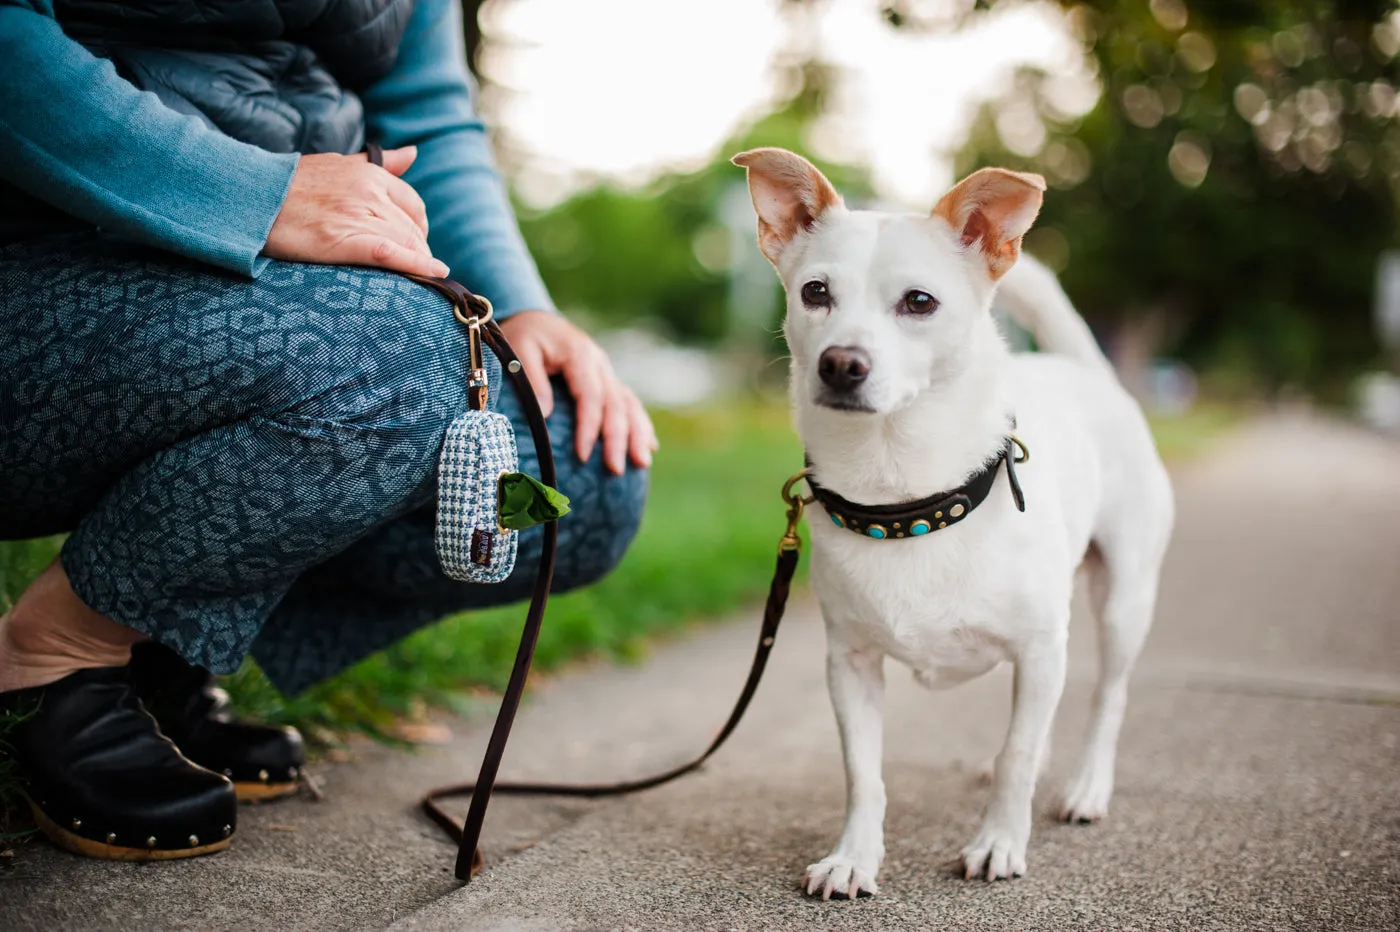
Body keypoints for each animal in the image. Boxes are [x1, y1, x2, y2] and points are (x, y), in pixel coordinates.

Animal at [739, 149, 1176, 895]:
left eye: (919, 302)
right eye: (815, 292)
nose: (841, 364)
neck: (906, 498)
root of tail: (1086, 372)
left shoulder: (1040, 646)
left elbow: (1017, 755)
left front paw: (999, 842)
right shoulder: (850, 665)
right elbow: (864, 774)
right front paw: (854, 856)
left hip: (1123, 601)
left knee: (1106, 699)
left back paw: (1087, 786)